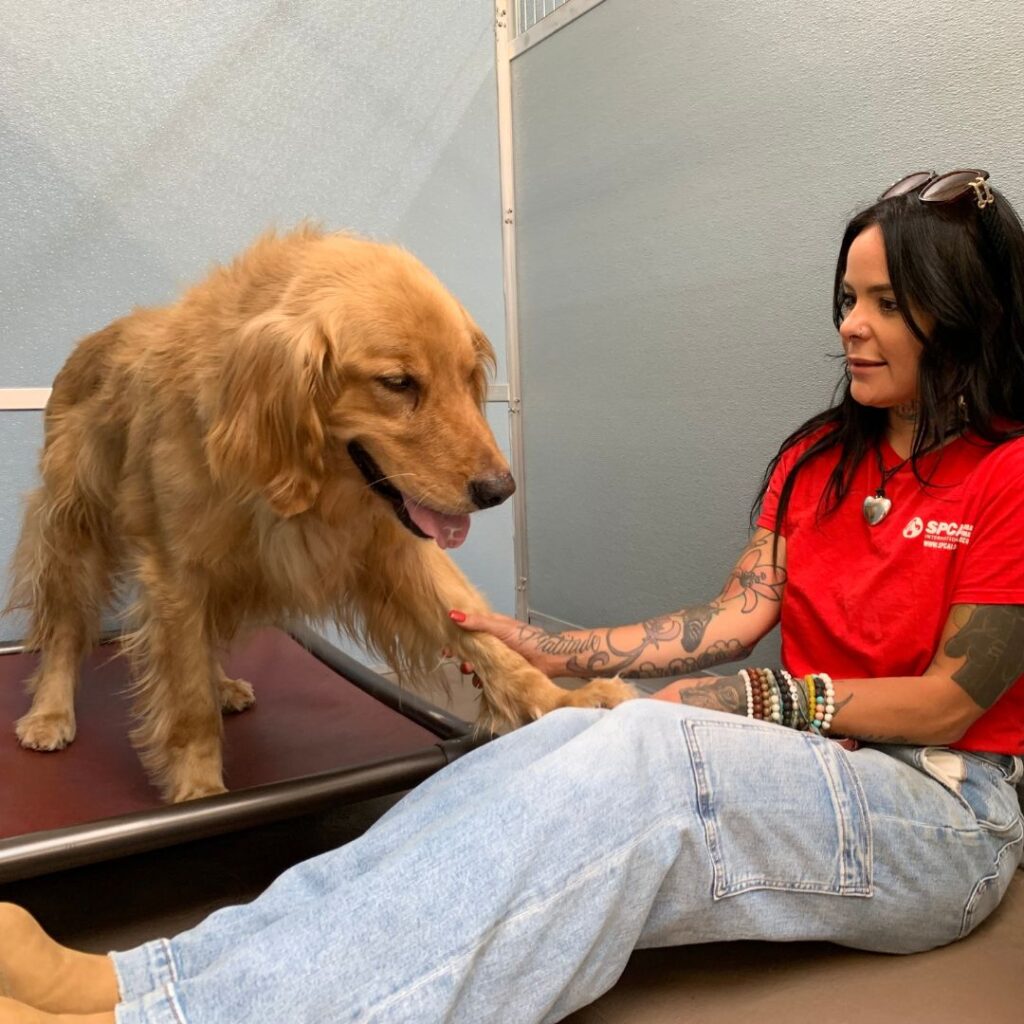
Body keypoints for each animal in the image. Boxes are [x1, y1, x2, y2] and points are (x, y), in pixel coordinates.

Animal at [6, 228, 630, 802]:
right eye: (397, 383)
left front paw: (560, 698)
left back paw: (223, 684)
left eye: (467, 376)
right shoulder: (177, 572)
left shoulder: (392, 546)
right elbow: (186, 702)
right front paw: (200, 790)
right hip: (75, 532)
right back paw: (51, 712)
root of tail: (86, 344)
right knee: (67, 630)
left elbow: (481, 631)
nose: (500, 489)